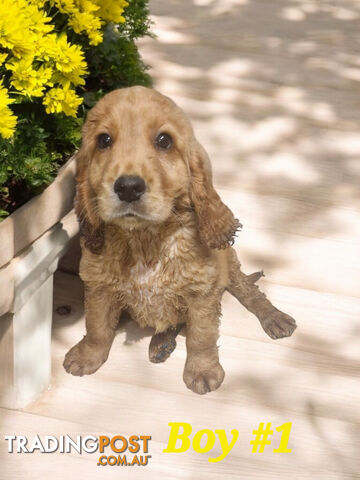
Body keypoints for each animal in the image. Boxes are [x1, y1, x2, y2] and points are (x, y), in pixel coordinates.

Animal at [63, 86, 296, 394]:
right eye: (104, 140)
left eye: (164, 140)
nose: (128, 187)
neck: (145, 239)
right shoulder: (99, 286)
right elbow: (96, 326)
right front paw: (87, 355)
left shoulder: (202, 294)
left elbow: (201, 336)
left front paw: (203, 371)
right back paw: (160, 344)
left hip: (230, 264)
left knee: (250, 292)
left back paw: (274, 317)